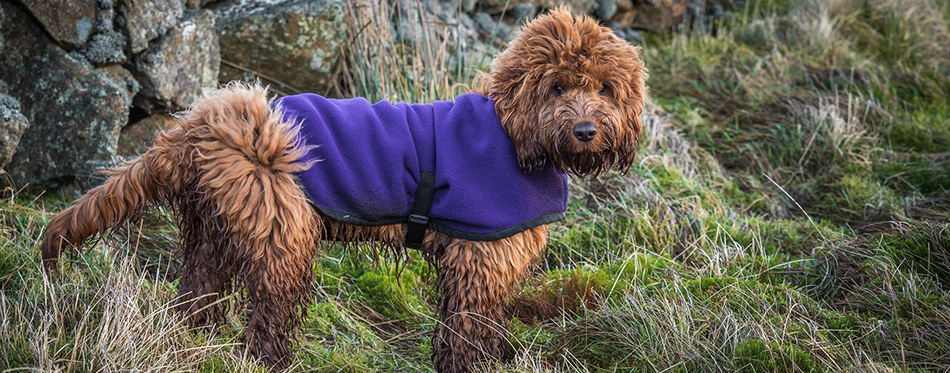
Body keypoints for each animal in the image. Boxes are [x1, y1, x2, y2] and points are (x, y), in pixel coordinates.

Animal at [37, 8, 648, 372]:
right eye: (558, 87)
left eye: (604, 88)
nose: (585, 130)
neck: (513, 133)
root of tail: (201, 123)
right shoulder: (479, 258)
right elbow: (467, 326)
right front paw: (471, 364)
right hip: (280, 225)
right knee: (269, 309)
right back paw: (269, 358)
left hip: (216, 226)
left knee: (199, 289)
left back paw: (199, 340)